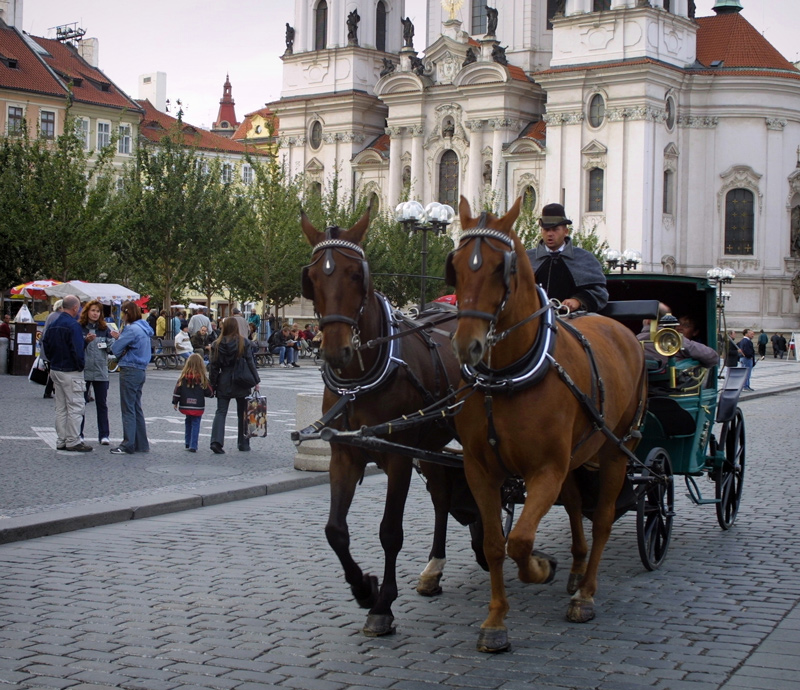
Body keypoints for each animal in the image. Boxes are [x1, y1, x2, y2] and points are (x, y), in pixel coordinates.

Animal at [302, 208, 484, 636]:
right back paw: (435, 569)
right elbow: (335, 531)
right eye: (312, 278)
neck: (361, 380)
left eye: (357, 274)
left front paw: (382, 603)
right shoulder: (345, 455)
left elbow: (390, 532)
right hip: (434, 445)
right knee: (443, 496)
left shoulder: (398, 459)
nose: (336, 350)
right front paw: (363, 589)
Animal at [446, 198, 648, 652]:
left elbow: (520, 540)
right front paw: (496, 620)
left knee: (602, 517)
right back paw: (576, 569)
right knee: (574, 505)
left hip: (615, 450)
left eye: (501, 268)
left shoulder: (545, 469)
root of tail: (624, 331)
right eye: (457, 266)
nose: (467, 346)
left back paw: (585, 593)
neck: (505, 379)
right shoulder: (480, 471)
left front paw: (540, 566)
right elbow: (495, 543)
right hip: (576, 456)